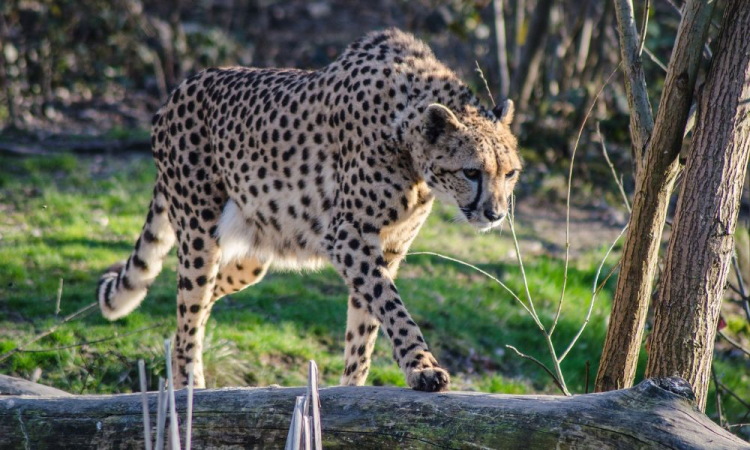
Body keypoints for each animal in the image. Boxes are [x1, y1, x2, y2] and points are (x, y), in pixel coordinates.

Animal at [97, 29, 524, 392]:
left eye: (511, 173)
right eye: (471, 172)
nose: (495, 214)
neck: (407, 135)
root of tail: (180, 88)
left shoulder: (387, 248)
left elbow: (366, 325)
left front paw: (353, 388)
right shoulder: (348, 234)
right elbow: (390, 305)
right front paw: (422, 367)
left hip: (255, 252)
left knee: (202, 303)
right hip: (200, 235)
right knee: (190, 309)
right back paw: (189, 389)